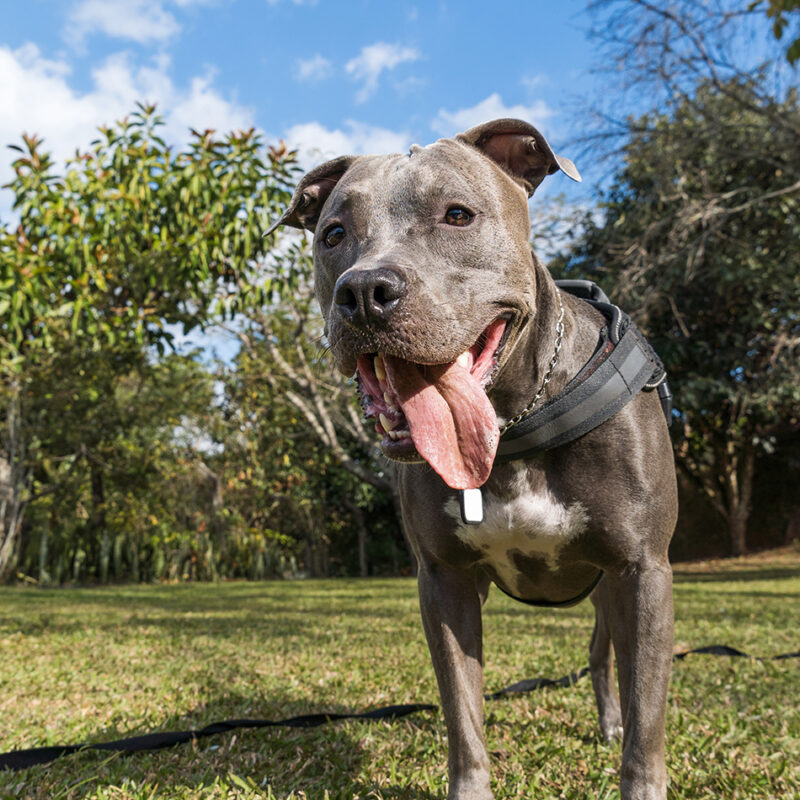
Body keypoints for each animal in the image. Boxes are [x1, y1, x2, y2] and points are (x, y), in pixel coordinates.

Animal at [268, 119, 676, 800]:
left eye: (457, 215)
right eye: (333, 234)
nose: (365, 291)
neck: (516, 426)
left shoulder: (642, 570)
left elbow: (646, 727)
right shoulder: (445, 581)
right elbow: (463, 718)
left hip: (611, 585)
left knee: (604, 655)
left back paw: (609, 724)